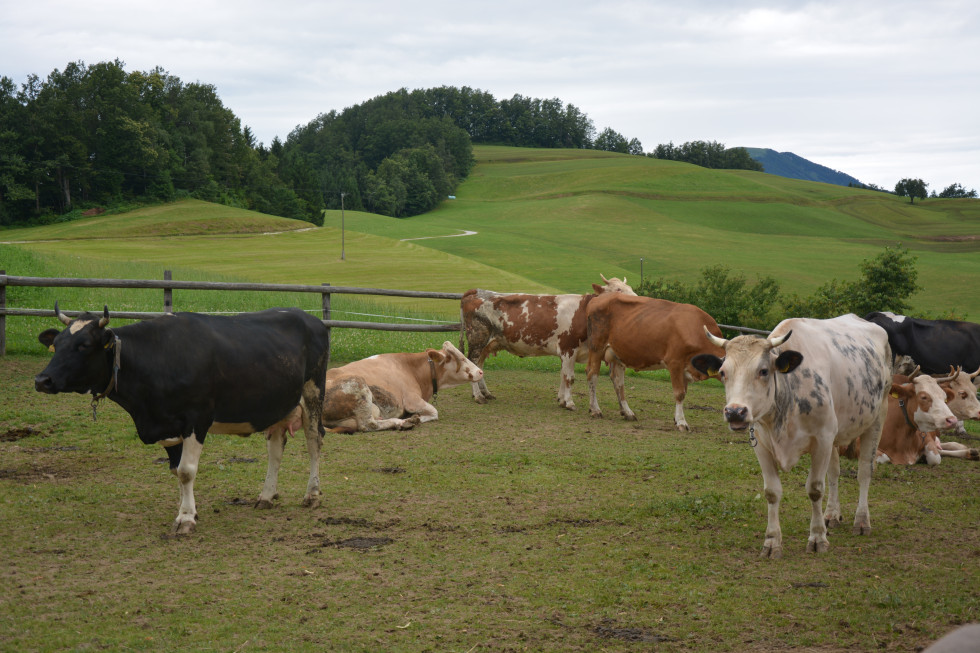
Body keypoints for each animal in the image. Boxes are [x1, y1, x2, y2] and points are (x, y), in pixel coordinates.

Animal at [36, 304, 332, 532]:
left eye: (84, 345)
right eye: (56, 344)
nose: (42, 380)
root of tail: (309, 317)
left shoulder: (196, 419)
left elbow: (186, 471)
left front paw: (186, 518)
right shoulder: (167, 425)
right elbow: (175, 470)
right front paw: (187, 509)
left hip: (313, 390)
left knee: (314, 440)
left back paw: (312, 494)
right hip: (276, 402)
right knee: (275, 448)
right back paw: (267, 496)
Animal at [460, 274, 636, 408]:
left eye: (630, 287)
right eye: (618, 290)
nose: (636, 299)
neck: (584, 312)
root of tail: (476, 291)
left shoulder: (567, 352)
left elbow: (563, 375)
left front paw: (561, 399)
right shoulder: (568, 348)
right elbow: (569, 377)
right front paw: (569, 403)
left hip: (487, 344)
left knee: (479, 366)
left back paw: (485, 393)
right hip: (477, 339)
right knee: (472, 363)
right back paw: (478, 396)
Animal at [584, 292, 724, 430]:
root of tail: (599, 297)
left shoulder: (686, 368)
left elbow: (684, 392)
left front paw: (676, 418)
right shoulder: (675, 362)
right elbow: (679, 393)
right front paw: (681, 422)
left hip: (618, 353)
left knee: (618, 381)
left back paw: (627, 412)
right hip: (596, 348)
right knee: (592, 375)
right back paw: (595, 409)